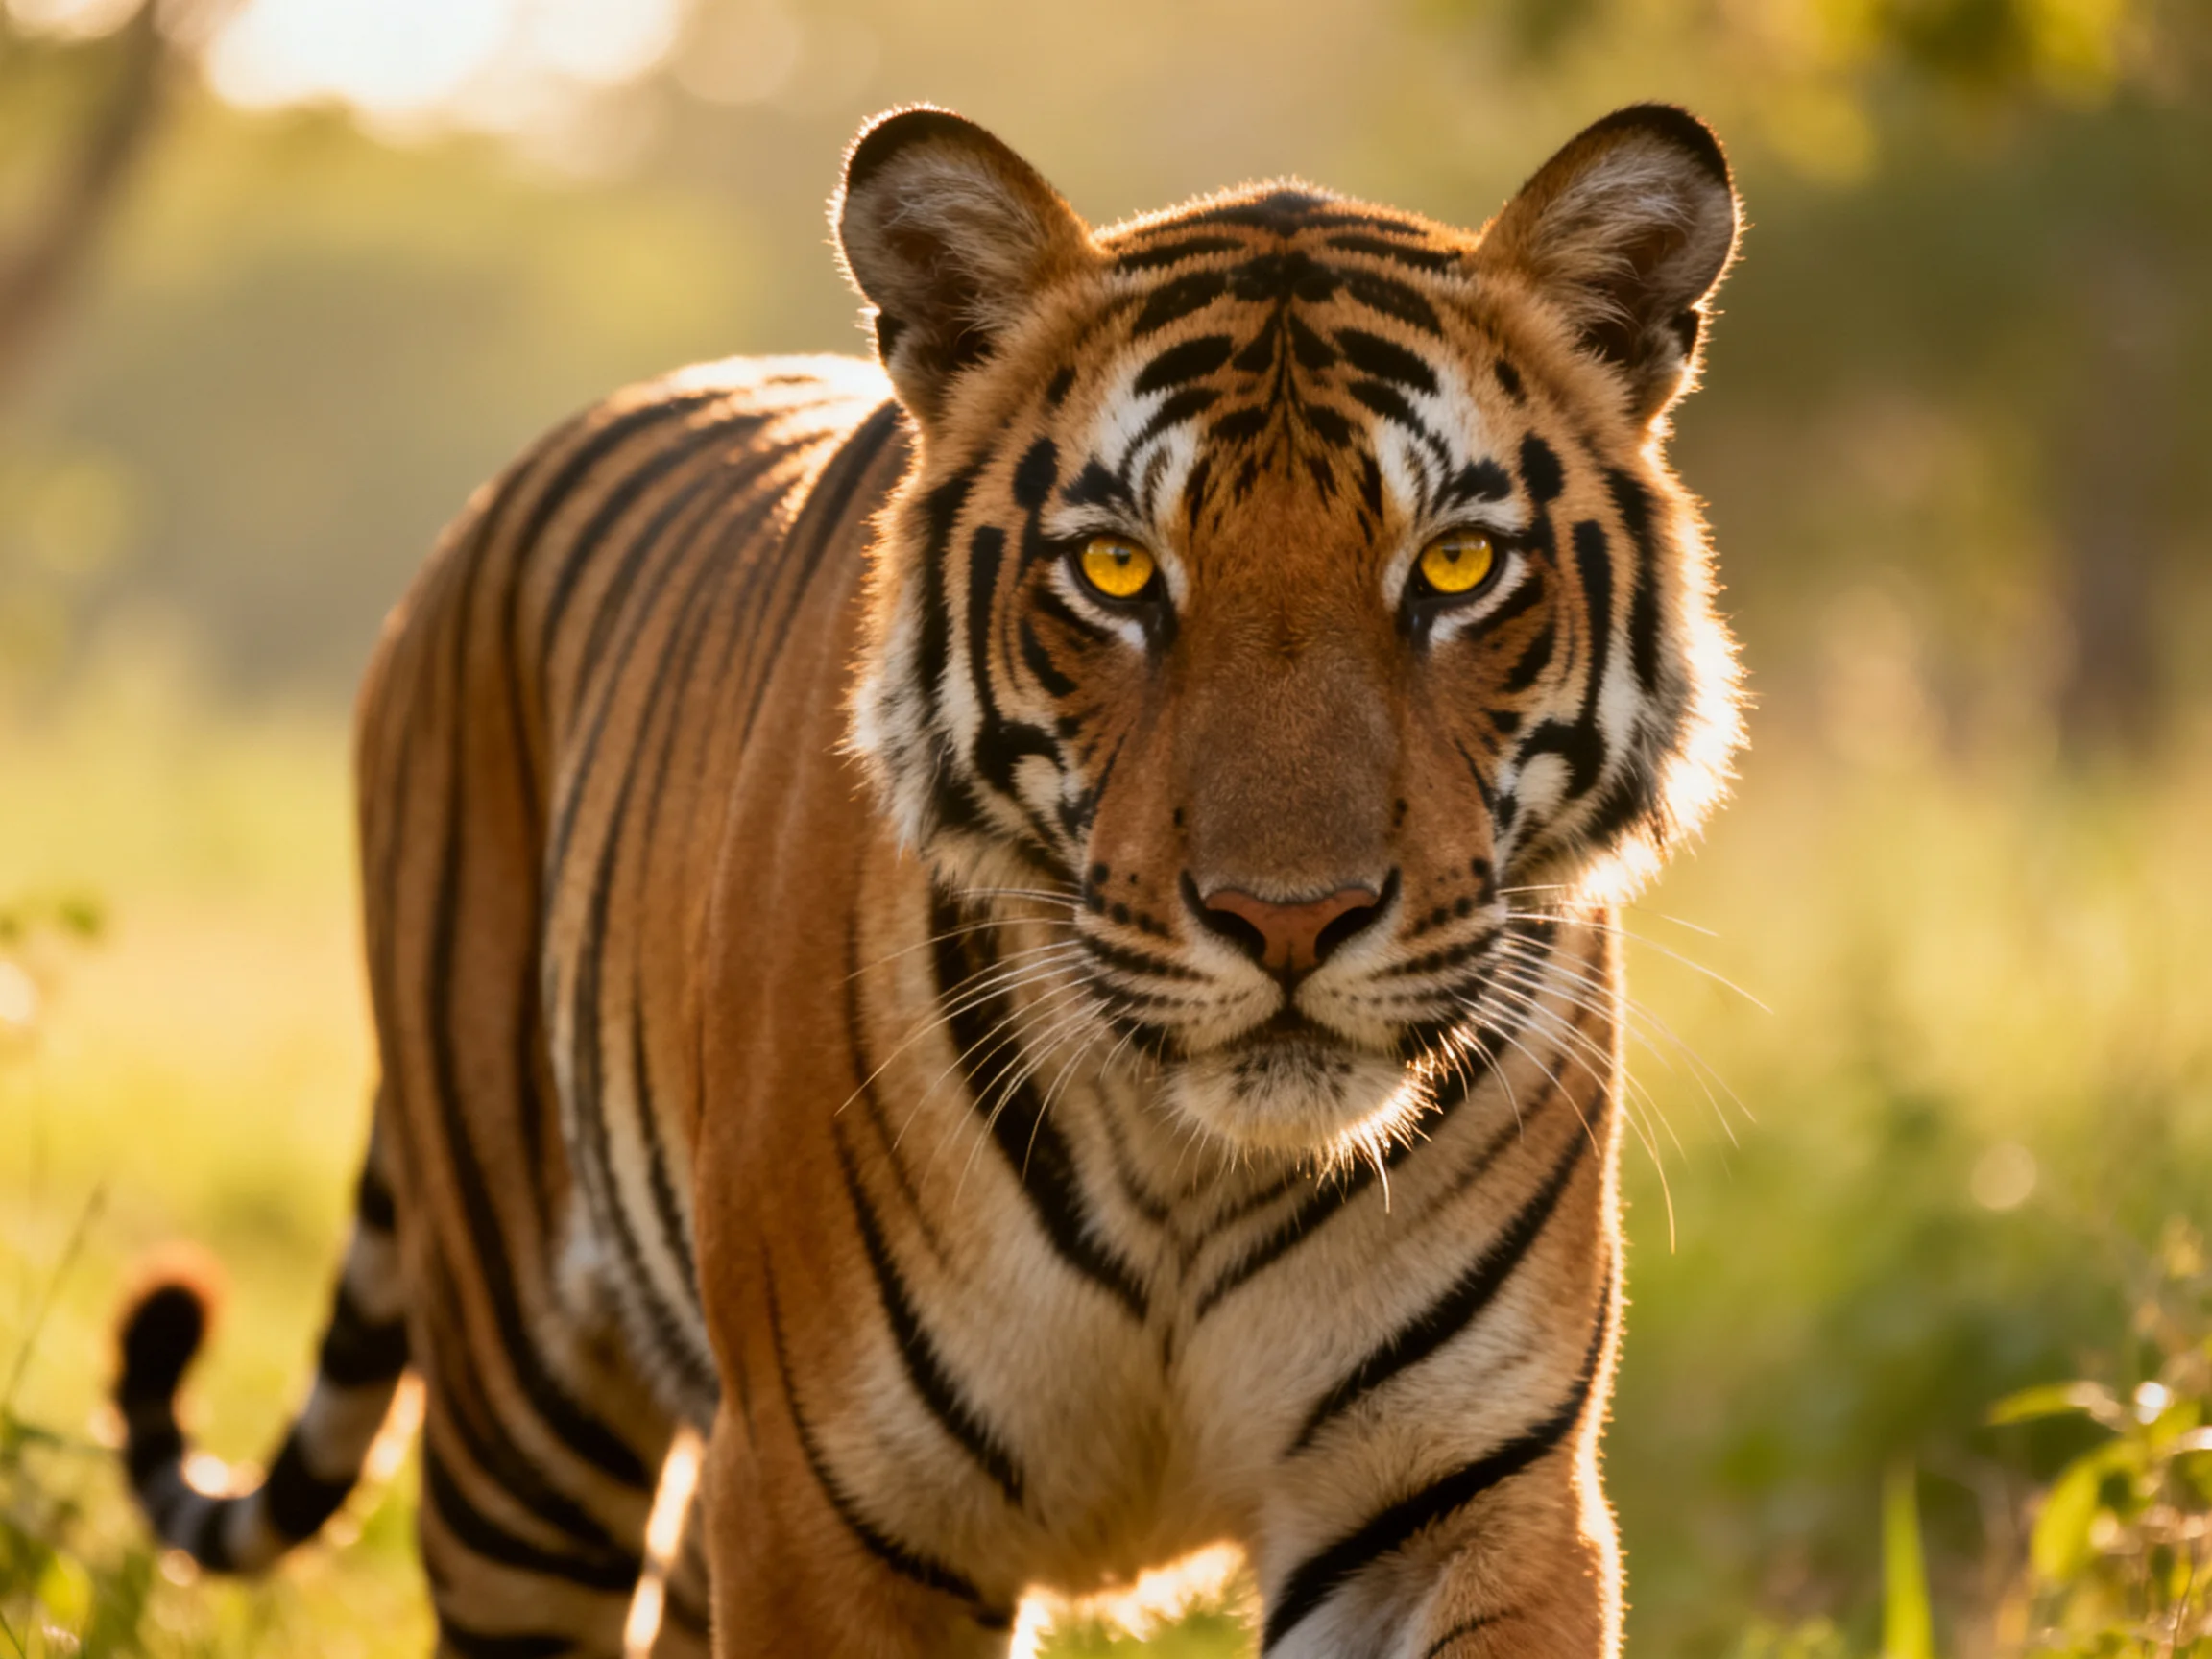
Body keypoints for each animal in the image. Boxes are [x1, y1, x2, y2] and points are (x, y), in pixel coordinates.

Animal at [113, 101, 1743, 1658]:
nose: (1290, 919)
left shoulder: (1457, 1499)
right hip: (524, 1422)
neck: (1193, 1173)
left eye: (1459, 568)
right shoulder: (833, 1503)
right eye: (1118, 572)